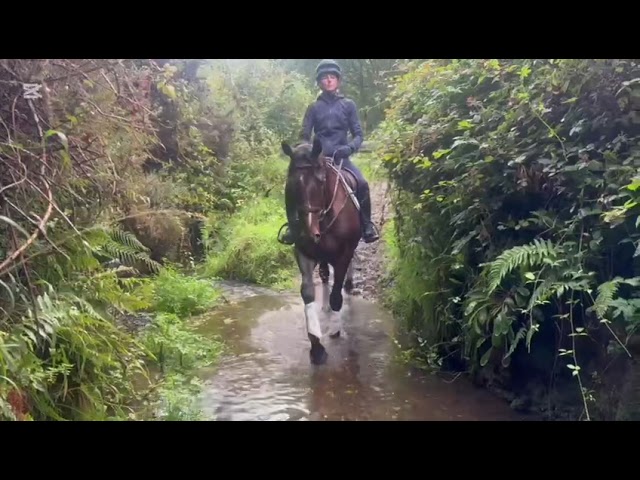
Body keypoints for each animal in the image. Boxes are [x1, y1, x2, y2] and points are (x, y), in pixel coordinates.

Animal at [279, 137, 361, 365]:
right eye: (291, 184)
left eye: (321, 181)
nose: (308, 233)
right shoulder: (304, 253)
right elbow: (308, 292)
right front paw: (316, 346)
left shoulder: (343, 254)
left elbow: (336, 294)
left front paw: (334, 330)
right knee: (324, 275)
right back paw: (324, 307)